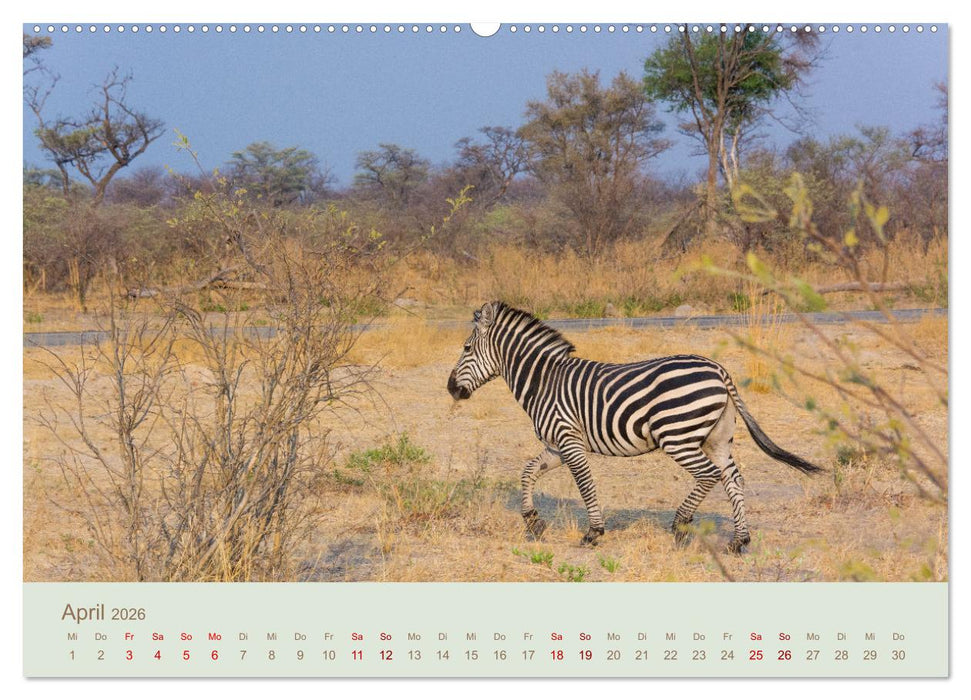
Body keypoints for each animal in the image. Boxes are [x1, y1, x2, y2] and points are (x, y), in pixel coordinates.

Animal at [447, 300, 823, 553]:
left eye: (466, 348)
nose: (450, 389)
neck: (544, 381)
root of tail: (719, 369)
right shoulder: (555, 445)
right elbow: (527, 473)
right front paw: (534, 521)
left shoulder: (569, 440)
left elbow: (585, 484)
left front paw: (593, 533)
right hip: (717, 439)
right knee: (733, 478)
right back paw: (738, 540)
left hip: (678, 437)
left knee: (709, 475)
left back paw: (680, 525)